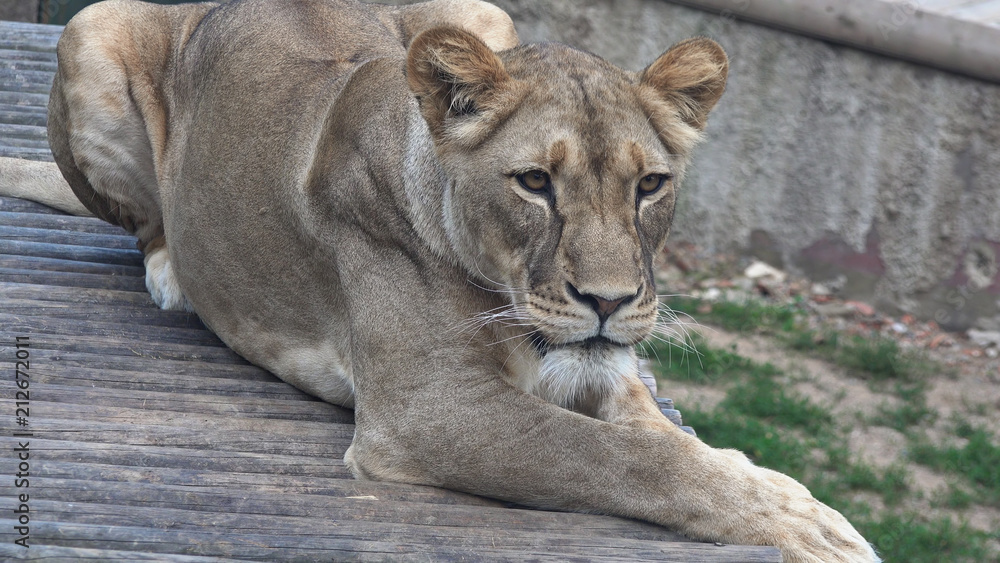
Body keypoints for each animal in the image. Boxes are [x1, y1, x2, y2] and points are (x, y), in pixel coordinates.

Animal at [0, 0, 878, 560]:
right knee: (144, 226)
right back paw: (169, 272)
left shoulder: (600, 369)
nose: (610, 301)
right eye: (535, 182)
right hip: (87, 27)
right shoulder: (428, 412)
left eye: (650, 185)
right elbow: (615, 456)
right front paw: (800, 524)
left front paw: (787, 496)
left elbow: (668, 438)